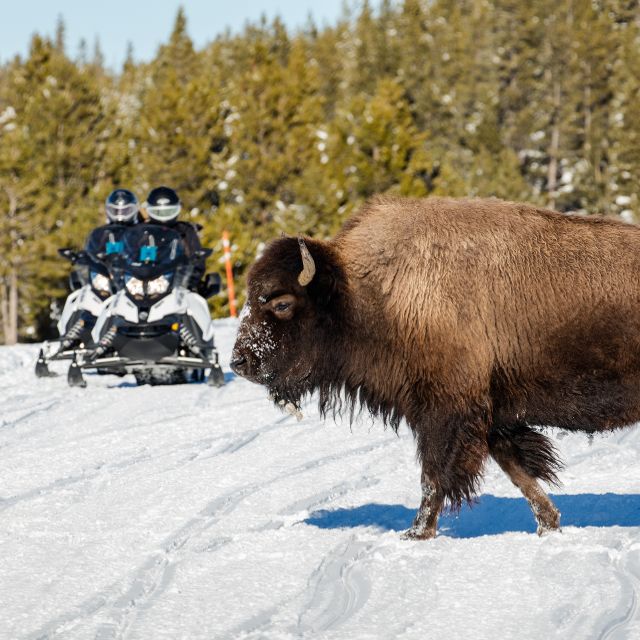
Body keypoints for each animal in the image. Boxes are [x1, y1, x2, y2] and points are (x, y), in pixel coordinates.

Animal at [232, 198, 640, 536]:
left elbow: (433, 477)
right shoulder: (492, 414)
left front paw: (416, 533)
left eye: (282, 303)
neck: (361, 291)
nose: (240, 361)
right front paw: (548, 525)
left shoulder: (446, 411)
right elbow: (517, 470)